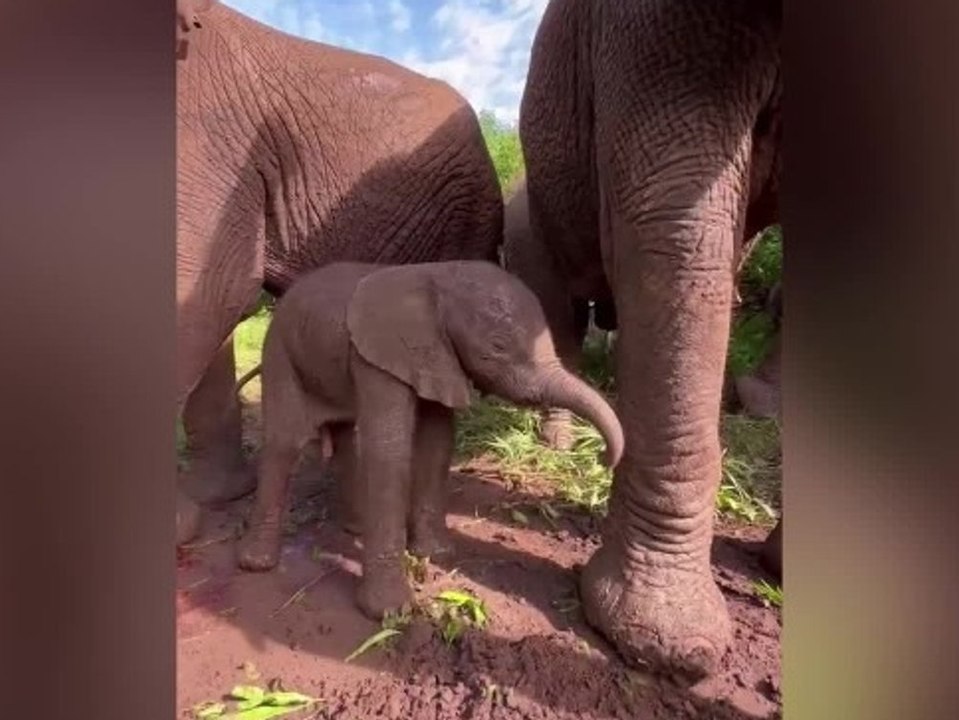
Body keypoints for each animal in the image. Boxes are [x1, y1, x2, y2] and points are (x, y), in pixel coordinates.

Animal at [234, 260, 625, 619]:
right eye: (497, 346)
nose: (603, 458)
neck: (437, 278)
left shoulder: (438, 358)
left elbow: (437, 442)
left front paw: (435, 554)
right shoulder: (378, 358)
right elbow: (388, 449)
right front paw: (390, 612)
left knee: (344, 438)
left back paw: (356, 526)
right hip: (280, 352)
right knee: (285, 443)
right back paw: (256, 564)